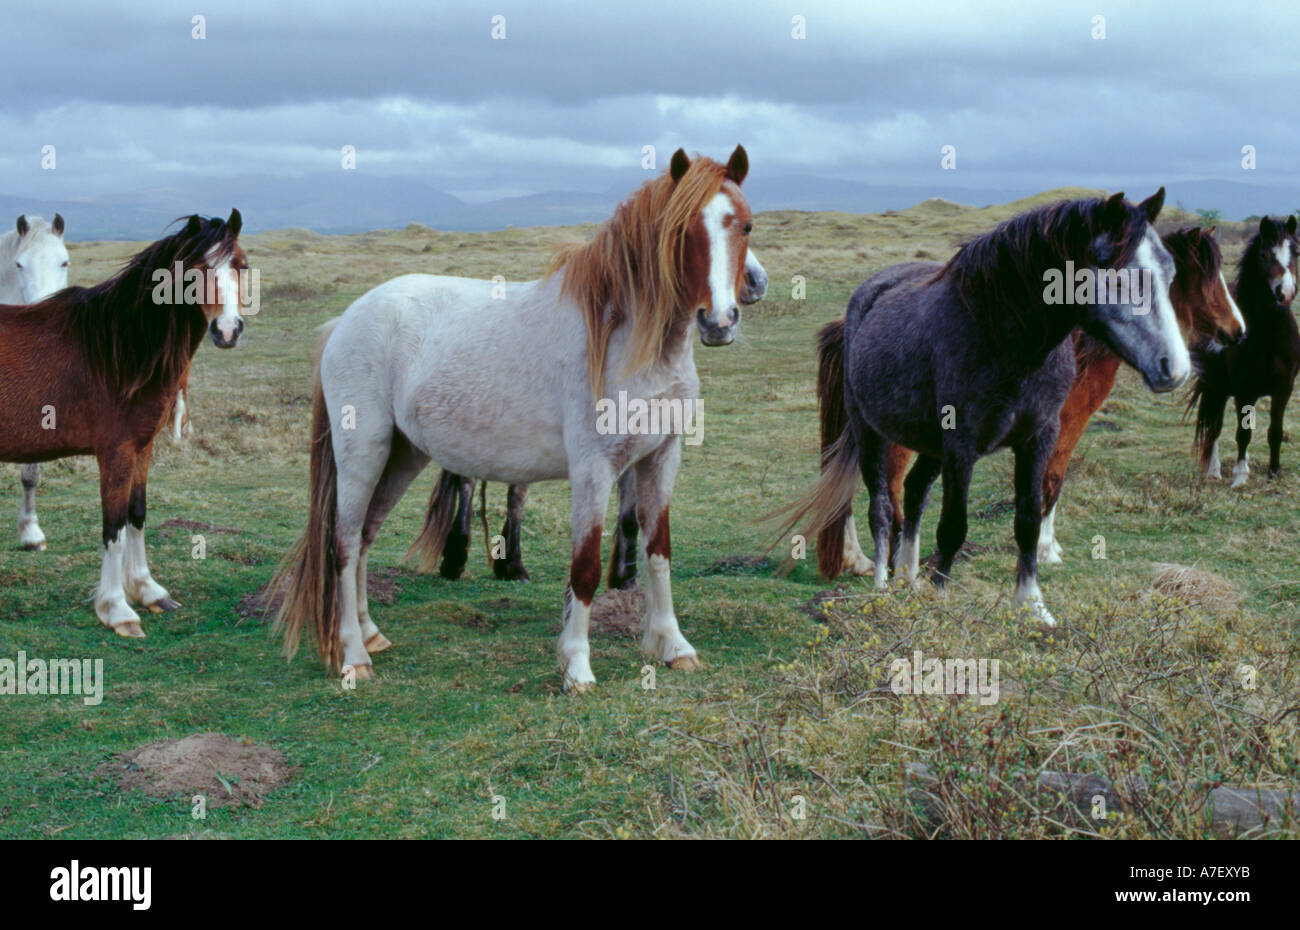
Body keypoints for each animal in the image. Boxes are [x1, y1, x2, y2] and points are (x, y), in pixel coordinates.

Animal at [0, 210, 247, 637]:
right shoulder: (114, 452)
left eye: (242, 265)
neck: (117, 350)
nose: (227, 329)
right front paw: (116, 608)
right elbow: (112, 526)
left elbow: (136, 513)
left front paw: (147, 589)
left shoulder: (141, 447)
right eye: (197, 268)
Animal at [433, 246, 769, 587]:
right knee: (469, 481)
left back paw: (510, 564)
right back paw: (458, 557)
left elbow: (631, 515)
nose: (756, 281)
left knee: (513, 490)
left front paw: (624, 577)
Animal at [775, 190, 1189, 626]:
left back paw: (909, 580)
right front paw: (941, 600)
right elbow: (953, 526)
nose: (1174, 368)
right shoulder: (962, 445)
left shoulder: (1039, 437)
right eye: (1118, 277)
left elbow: (1027, 520)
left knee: (915, 492)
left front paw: (1032, 605)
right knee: (882, 508)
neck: (1005, 336)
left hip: (930, 444)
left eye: (1170, 273)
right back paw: (883, 587)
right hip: (871, 434)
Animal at [826, 225, 1246, 576]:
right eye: (1204, 278)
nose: (1237, 330)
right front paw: (1045, 550)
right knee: (887, 492)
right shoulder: (1065, 424)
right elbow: (1052, 481)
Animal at [1188, 215, 1300, 488]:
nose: (1285, 292)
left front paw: (1274, 471)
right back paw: (1214, 470)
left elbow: (1275, 431)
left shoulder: (1284, 388)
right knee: (1214, 426)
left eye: (1296, 252)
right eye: (1265, 254)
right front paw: (1239, 476)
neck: (1269, 334)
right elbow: (1242, 433)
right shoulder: (1244, 390)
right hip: (1216, 386)